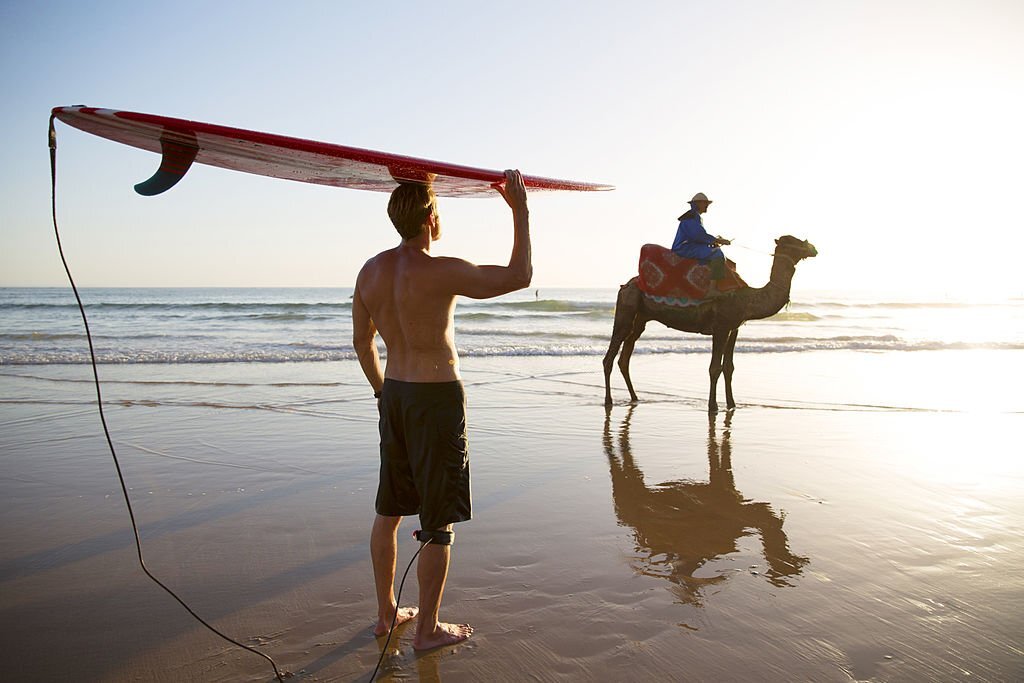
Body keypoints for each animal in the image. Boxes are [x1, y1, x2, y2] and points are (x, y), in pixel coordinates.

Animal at [602, 237, 819, 413]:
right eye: (793, 241)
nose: (813, 248)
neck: (748, 298)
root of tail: (625, 285)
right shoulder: (720, 327)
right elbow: (715, 368)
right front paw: (713, 406)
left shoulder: (734, 327)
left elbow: (729, 367)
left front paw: (732, 404)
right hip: (626, 309)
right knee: (610, 356)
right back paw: (609, 400)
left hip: (641, 317)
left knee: (625, 356)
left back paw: (634, 398)